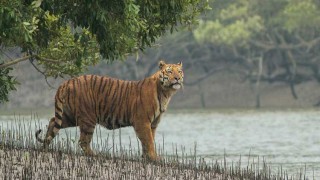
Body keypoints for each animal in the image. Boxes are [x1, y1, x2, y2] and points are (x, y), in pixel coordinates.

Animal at [35, 60, 184, 160]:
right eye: (170, 71)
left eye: (179, 71)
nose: (177, 78)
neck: (166, 93)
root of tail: (67, 82)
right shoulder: (142, 121)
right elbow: (148, 141)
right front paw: (154, 158)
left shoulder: (153, 124)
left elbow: (149, 141)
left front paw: (147, 157)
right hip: (88, 118)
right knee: (83, 141)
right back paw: (95, 155)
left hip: (70, 116)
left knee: (53, 122)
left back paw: (45, 146)